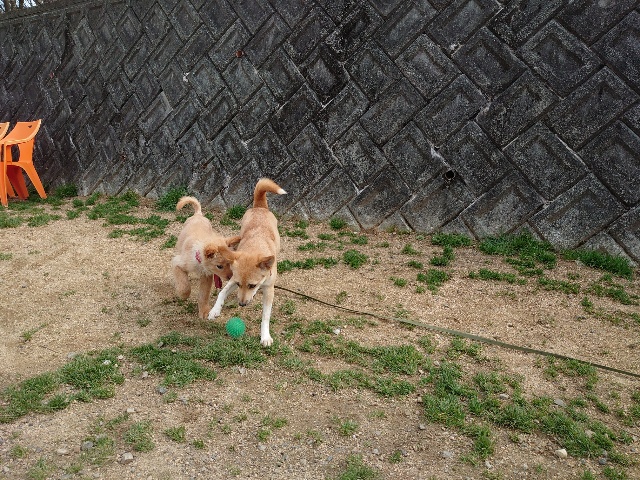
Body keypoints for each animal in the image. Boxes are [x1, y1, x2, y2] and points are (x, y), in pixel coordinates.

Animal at [208, 178, 286, 346]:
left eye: (252, 285)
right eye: (239, 284)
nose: (242, 304)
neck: (255, 247)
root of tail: (259, 207)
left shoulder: (269, 289)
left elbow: (265, 316)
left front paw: (265, 336)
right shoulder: (233, 279)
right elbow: (222, 292)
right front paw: (215, 310)